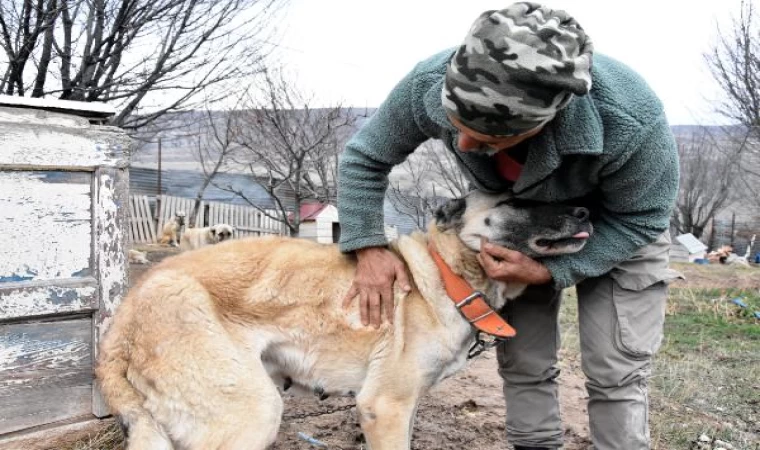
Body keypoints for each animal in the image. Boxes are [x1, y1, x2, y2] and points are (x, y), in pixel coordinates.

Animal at [96, 192, 592, 448]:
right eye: (516, 200)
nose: (586, 210)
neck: (444, 273)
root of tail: (123, 320)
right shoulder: (384, 407)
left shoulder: (405, 406)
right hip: (251, 415)